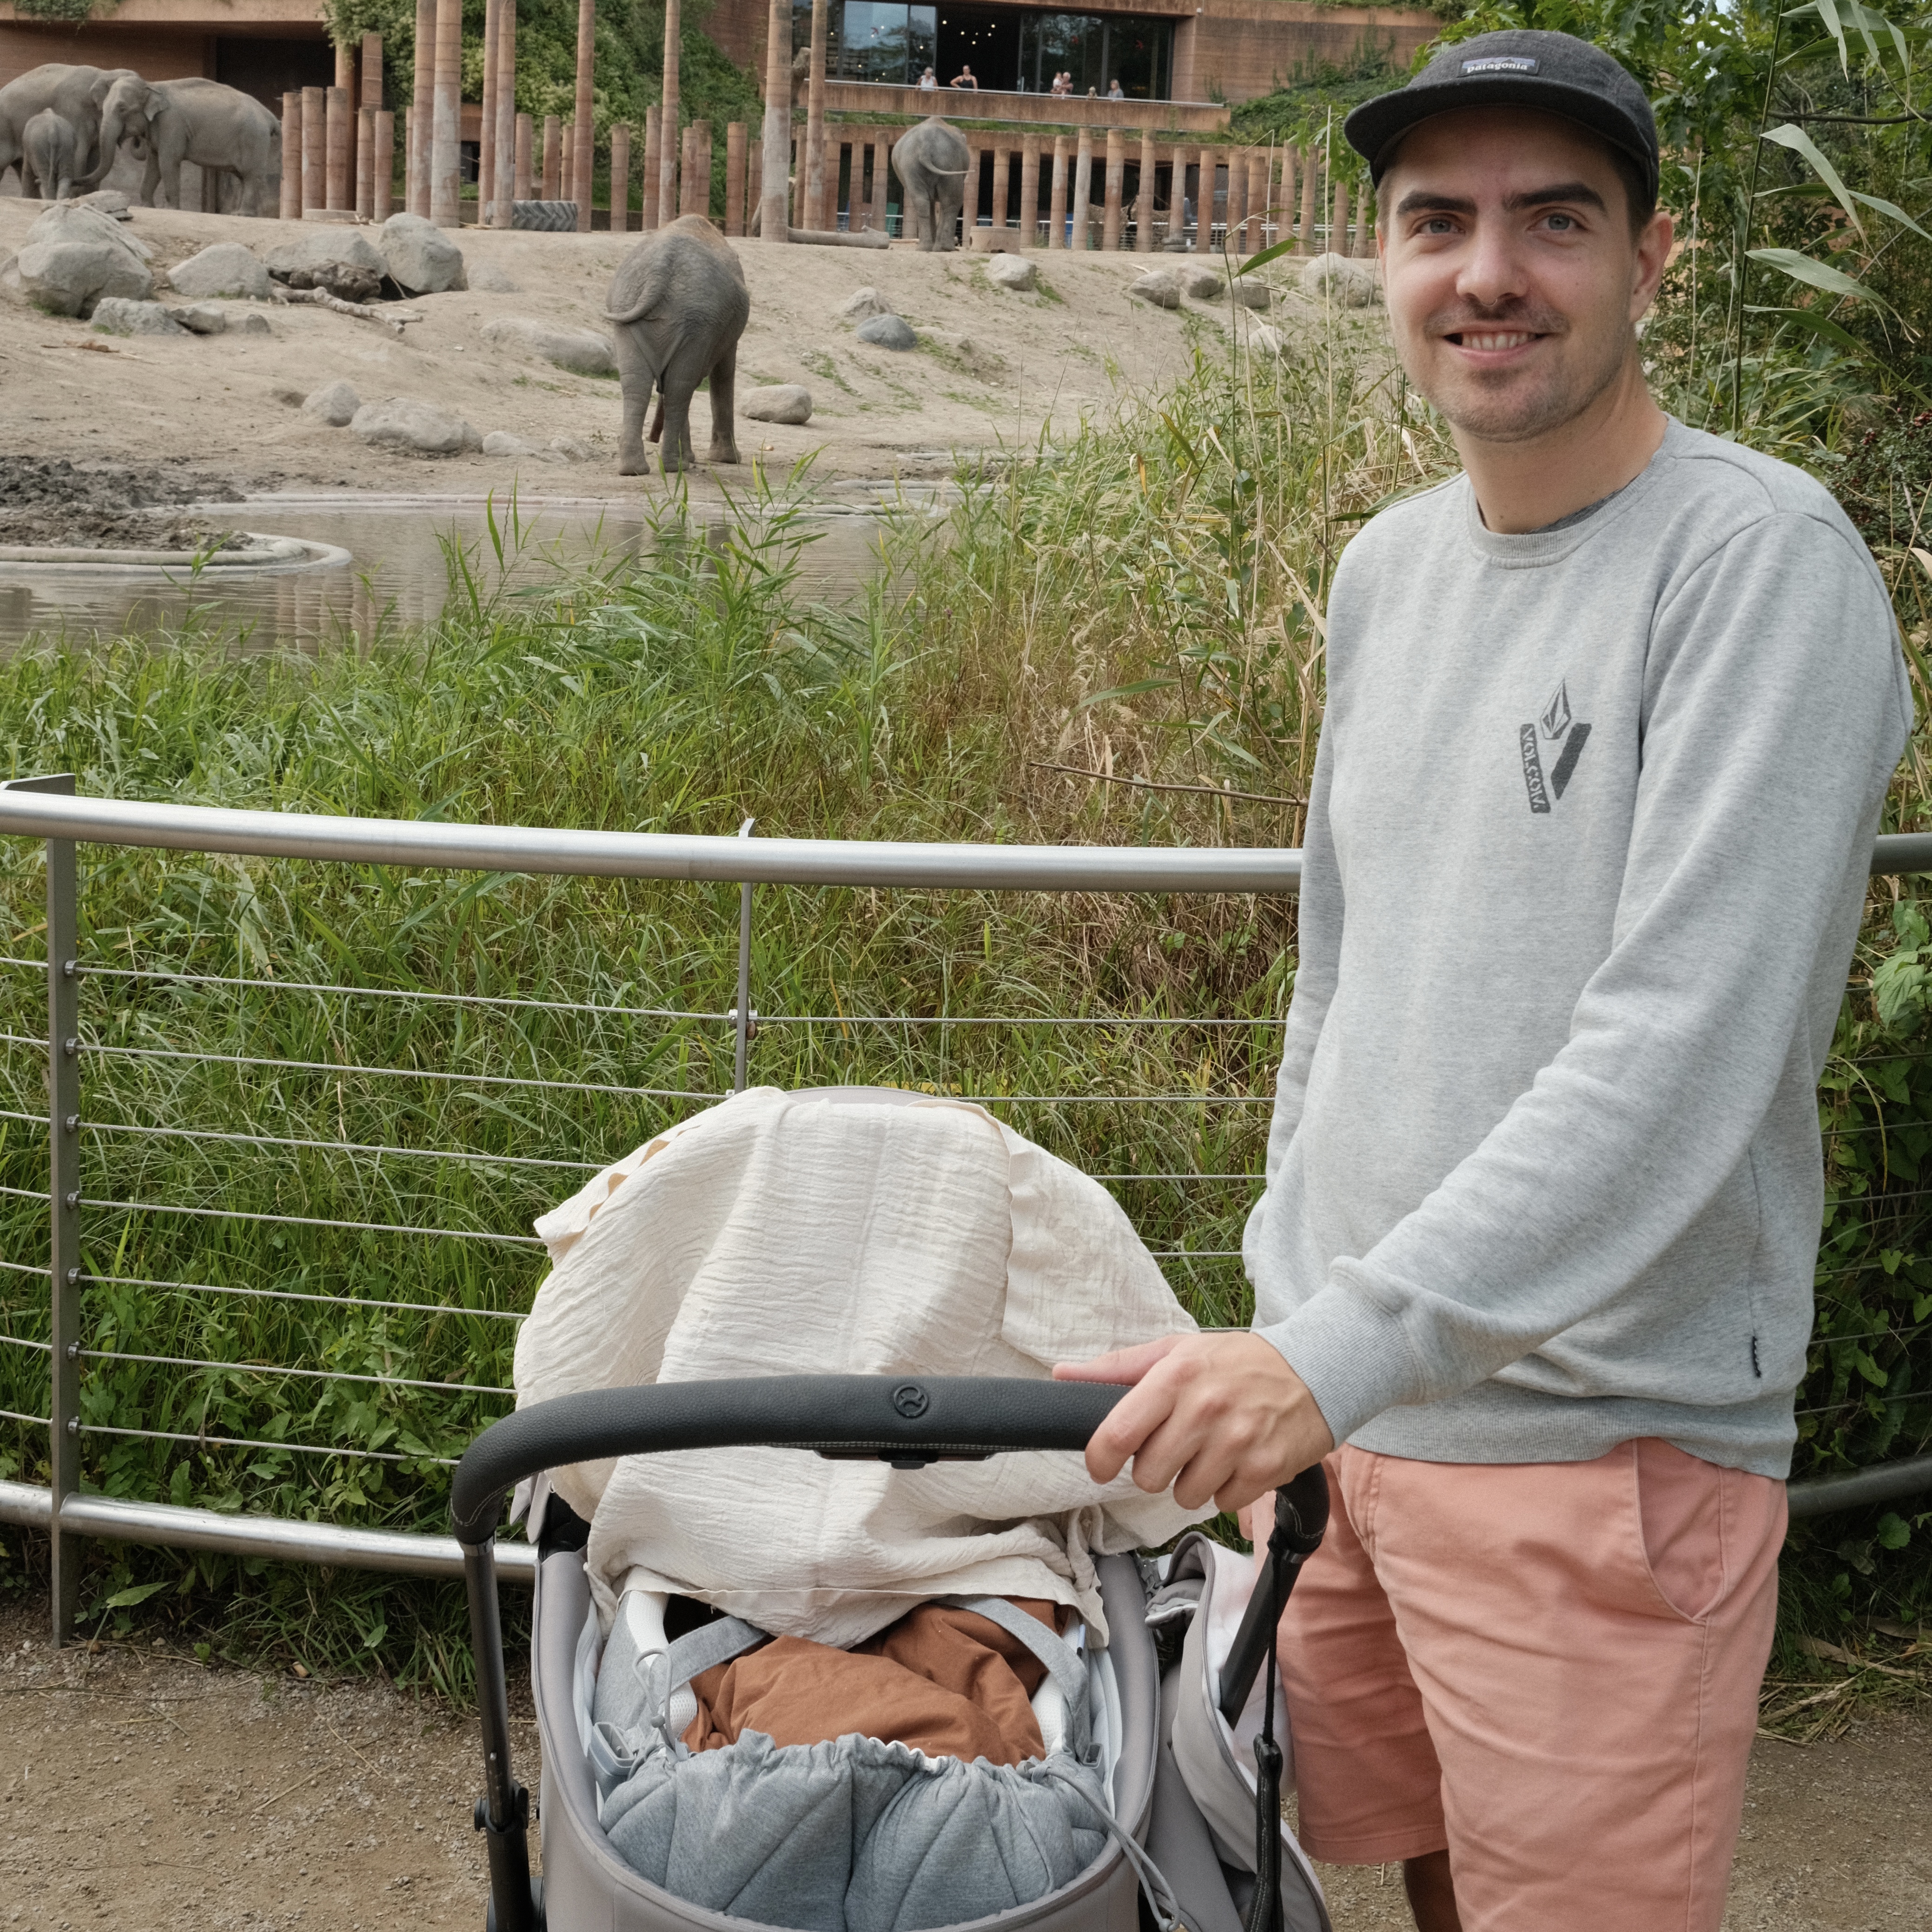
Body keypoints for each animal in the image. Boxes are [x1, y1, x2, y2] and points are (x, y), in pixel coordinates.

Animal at [20, 106, 78, 200]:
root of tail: (53, 130)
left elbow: (27, 171)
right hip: (67, 145)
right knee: (64, 176)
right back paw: (59, 200)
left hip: (39, 148)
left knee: (46, 178)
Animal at [86, 73, 282, 215]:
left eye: (122, 109)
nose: (135, 140)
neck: (152, 85)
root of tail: (270, 116)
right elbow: (153, 165)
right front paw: (148, 207)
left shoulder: (171, 124)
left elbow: (168, 162)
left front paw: (170, 210)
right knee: (243, 177)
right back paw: (239, 213)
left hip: (253, 138)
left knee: (250, 175)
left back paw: (242, 215)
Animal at [606, 214, 749, 475]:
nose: (653, 437)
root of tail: (659, 272)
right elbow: (723, 372)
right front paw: (727, 460)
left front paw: (694, 458)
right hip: (696, 321)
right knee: (679, 386)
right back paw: (674, 467)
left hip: (634, 312)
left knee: (639, 382)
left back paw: (635, 469)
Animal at [896, 115, 973, 253]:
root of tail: (925, 144)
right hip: (949, 162)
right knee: (952, 202)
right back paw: (947, 248)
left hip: (912, 166)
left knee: (922, 201)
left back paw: (926, 248)